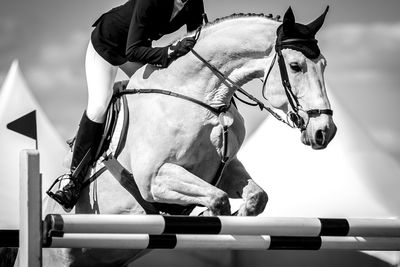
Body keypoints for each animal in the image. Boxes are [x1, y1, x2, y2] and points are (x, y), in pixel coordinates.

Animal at [40, 6, 336, 267]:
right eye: (296, 66)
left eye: (324, 64)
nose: (325, 131)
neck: (205, 96)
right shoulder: (154, 178)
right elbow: (218, 200)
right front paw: (212, 217)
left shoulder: (223, 167)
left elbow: (255, 196)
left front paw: (239, 217)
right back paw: (66, 192)